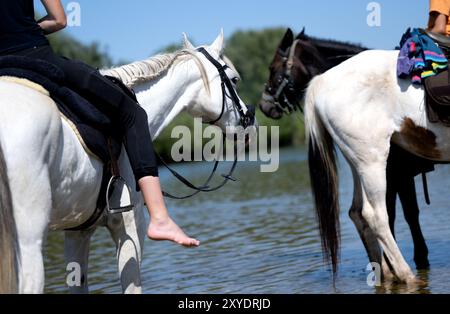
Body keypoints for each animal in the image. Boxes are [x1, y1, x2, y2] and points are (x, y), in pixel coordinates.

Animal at [306, 48, 450, 282]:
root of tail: (322, 81)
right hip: (373, 161)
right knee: (376, 216)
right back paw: (406, 275)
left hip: (358, 163)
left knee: (357, 213)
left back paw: (386, 272)